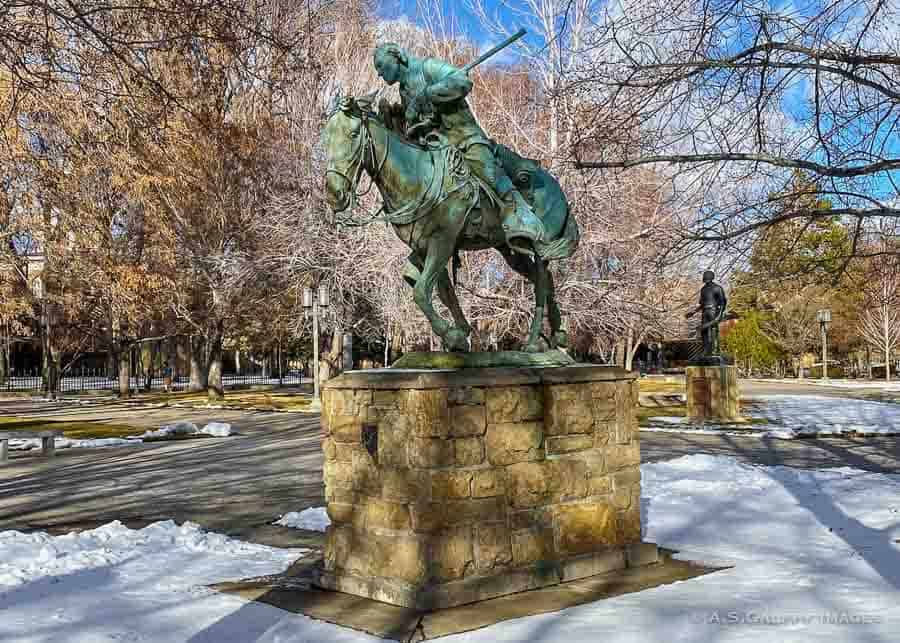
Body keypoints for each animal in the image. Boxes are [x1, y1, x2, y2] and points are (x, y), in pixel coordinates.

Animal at [324, 97, 576, 352]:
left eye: (354, 134)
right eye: (327, 135)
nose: (334, 193)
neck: (418, 176)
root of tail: (555, 185)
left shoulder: (442, 241)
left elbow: (421, 291)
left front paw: (452, 335)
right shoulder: (423, 247)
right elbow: (443, 291)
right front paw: (459, 334)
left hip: (539, 248)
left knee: (541, 284)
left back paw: (534, 342)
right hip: (510, 250)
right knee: (544, 281)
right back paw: (557, 334)